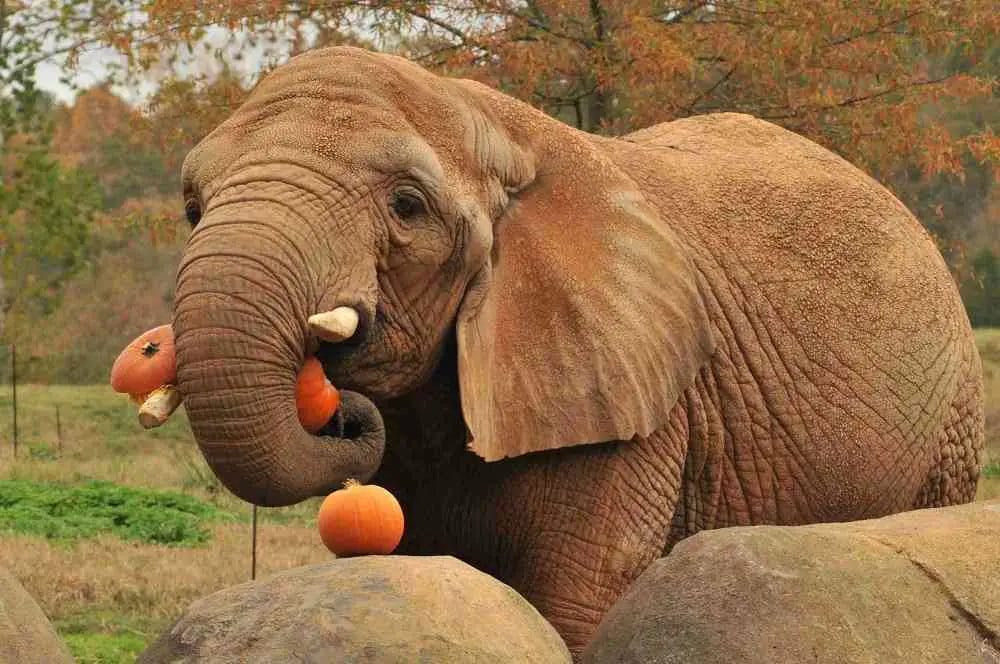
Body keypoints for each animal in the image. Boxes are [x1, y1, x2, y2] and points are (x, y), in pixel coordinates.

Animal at [172, 46, 985, 657]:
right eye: (192, 208)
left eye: (407, 206)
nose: (344, 412)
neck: (493, 127)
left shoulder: (639, 400)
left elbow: (572, 602)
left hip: (951, 427)